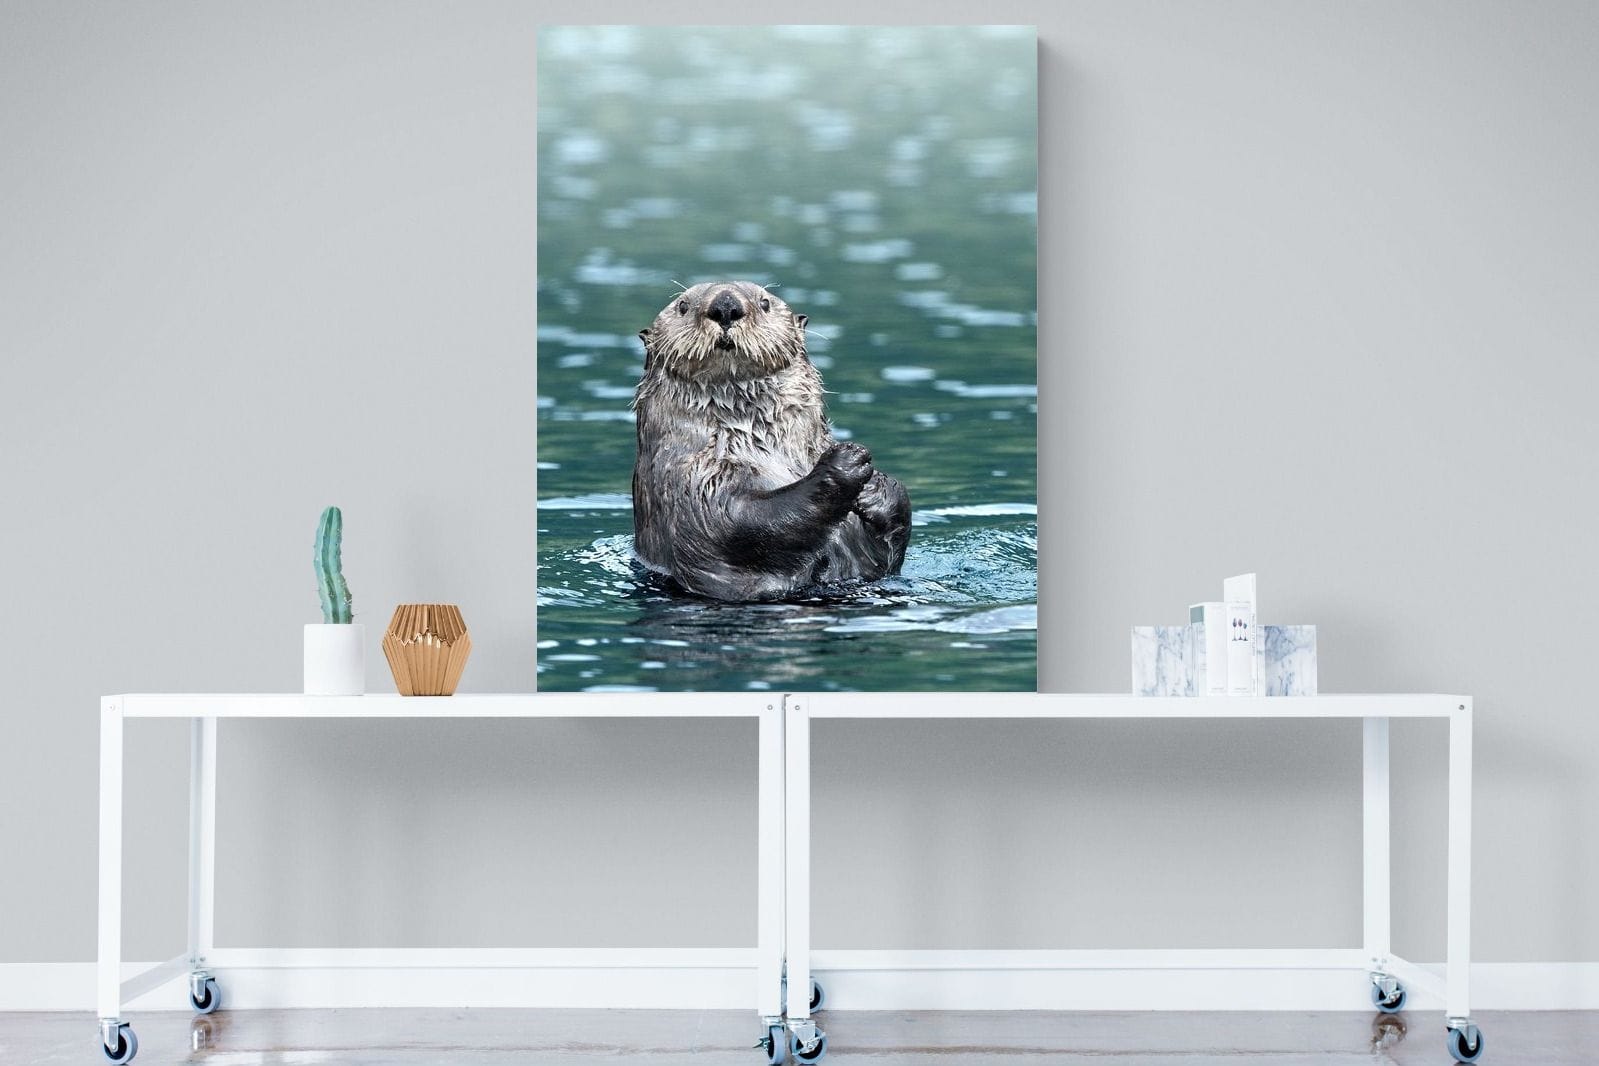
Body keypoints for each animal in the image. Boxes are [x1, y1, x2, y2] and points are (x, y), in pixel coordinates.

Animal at [631, 281, 911, 602]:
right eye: (683, 306)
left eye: (764, 303)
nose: (725, 305)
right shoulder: (691, 480)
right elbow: (738, 521)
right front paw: (845, 461)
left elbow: (885, 558)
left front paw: (876, 487)